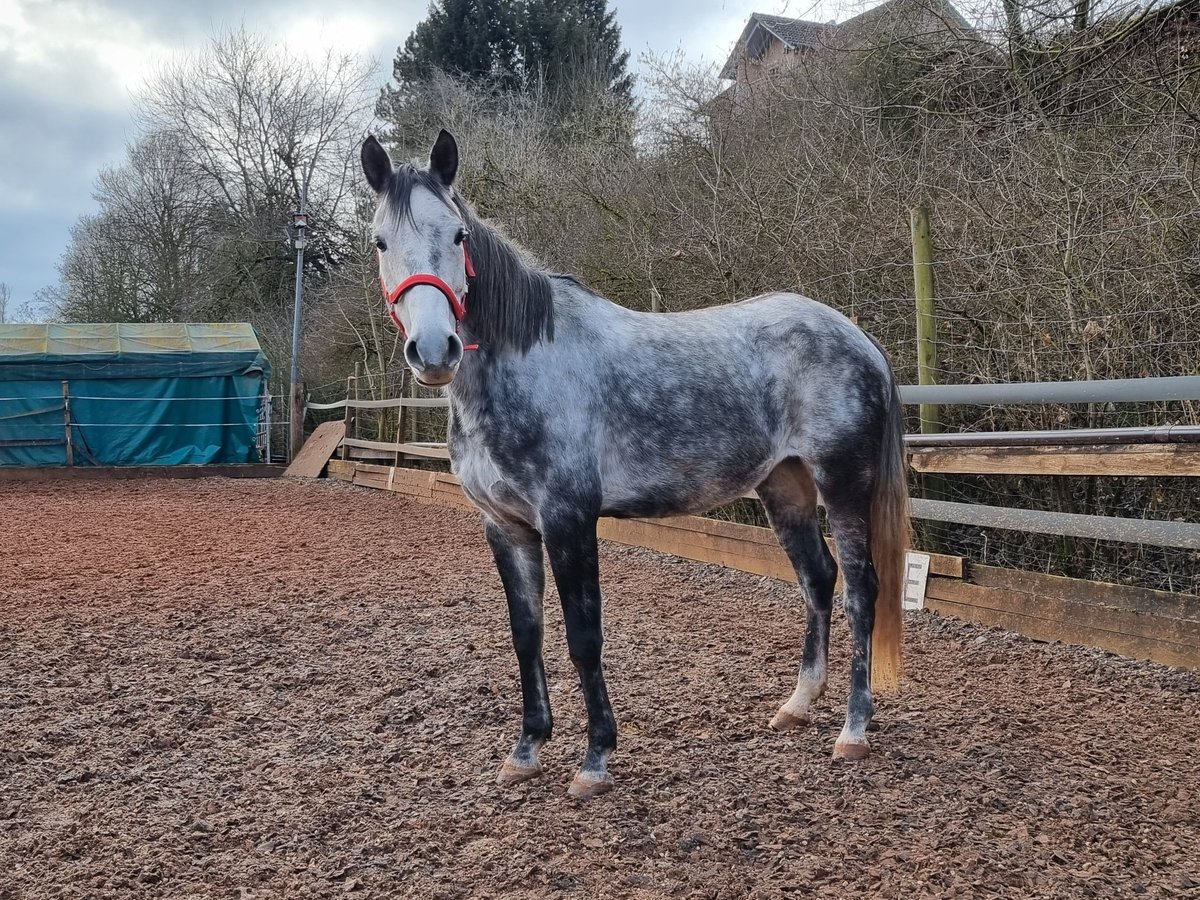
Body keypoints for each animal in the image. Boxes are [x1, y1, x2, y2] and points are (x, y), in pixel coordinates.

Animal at [360, 130, 902, 801]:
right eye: (381, 241)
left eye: (458, 235)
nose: (435, 351)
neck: (526, 362)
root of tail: (858, 338)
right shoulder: (506, 527)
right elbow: (526, 635)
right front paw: (526, 750)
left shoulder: (568, 519)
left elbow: (583, 636)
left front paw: (595, 759)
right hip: (786, 487)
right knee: (818, 578)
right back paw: (797, 706)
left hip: (843, 484)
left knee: (860, 589)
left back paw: (853, 730)